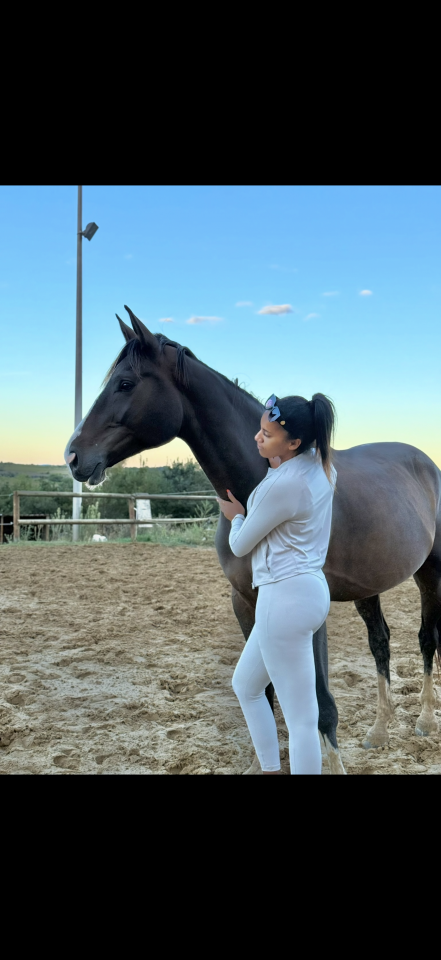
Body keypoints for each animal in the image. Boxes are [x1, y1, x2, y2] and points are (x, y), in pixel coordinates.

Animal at [65, 307, 441, 774]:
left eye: (126, 383)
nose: (74, 456)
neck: (257, 488)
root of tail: (425, 460)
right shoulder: (245, 601)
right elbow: (268, 693)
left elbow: (320, 704)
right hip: (368, 586)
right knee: (381, 643)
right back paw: (380, 730)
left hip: (430, 573)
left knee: (427, 638)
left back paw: (425, 720)